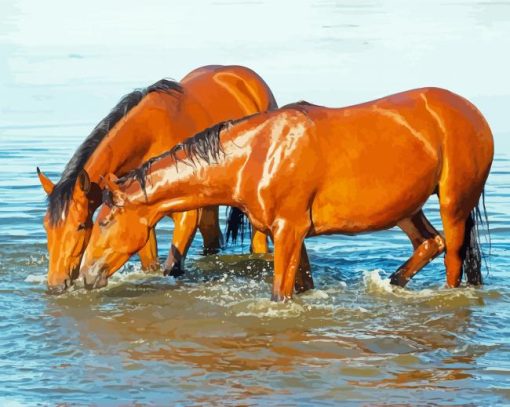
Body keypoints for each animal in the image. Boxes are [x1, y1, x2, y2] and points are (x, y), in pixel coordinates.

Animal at [37, 63, 280, 294]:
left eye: (80, 226)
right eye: (46, 226)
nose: (56, 284)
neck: (150, 136)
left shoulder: (186, 216)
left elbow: (172, 268)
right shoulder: (138, 216)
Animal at [80, 87, 494, 302]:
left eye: (105, 221)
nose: (85, 274)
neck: (257, 154)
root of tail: (470, 112)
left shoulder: (288, 231)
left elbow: (281, 294)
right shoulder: (294, 235)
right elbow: (302, 285)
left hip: (453, 205)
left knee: (452, 261)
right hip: (407, 207)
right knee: (429, 243)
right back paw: (391, 283)